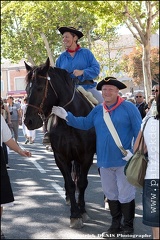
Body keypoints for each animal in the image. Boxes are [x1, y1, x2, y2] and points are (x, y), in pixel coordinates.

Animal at [24, 57, 95, 229]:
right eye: (26, 89)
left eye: (40, 88)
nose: (28, 121)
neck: (71, 120)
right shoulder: (61, 157)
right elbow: (70, 183)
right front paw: (75, 214)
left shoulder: (86, 156)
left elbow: (82, 183)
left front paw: (82, 210)